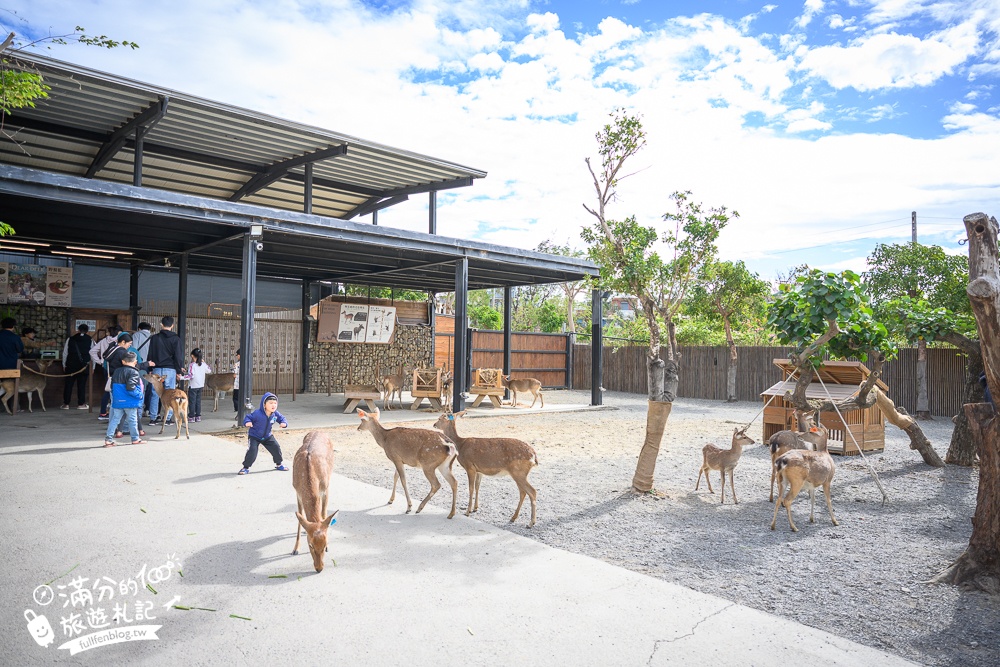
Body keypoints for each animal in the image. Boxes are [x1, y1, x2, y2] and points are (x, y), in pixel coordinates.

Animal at [292, 434, 338, 576]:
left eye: (325, 544)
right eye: (310, 545)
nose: (319, 568)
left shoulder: (325, 489)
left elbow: (323, 515)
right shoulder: (297, 492)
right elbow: (300, 518)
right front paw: (295, 548)